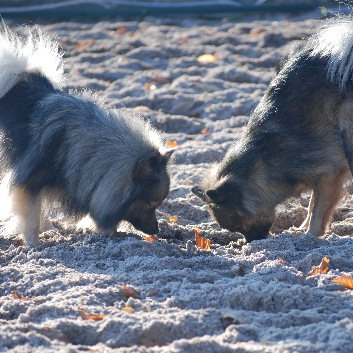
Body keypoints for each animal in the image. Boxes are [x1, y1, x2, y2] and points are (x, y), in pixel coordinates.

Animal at [192, 16, 353, 242]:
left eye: (238, 225)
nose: (250, 244)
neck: (264, 160)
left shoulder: (330, 174)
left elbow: (318, 211)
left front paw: (310, 234)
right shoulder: (321, 175)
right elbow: (312, 204)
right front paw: (301, 230)